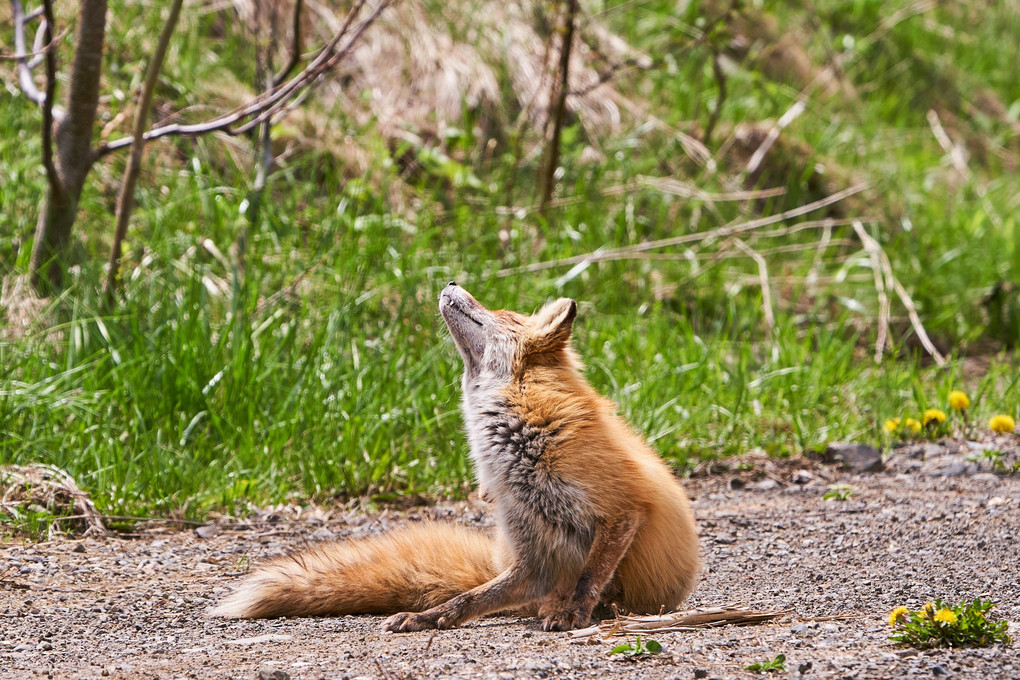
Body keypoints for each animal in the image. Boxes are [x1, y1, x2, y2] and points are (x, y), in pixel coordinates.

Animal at [210, 283, 697, 632]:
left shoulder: (622, 509)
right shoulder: (531, 552)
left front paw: (574, 613)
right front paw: (431, 618)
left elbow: (590, 576)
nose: (450, 282)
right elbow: (469, 599)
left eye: (501, 314)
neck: (521, 433)